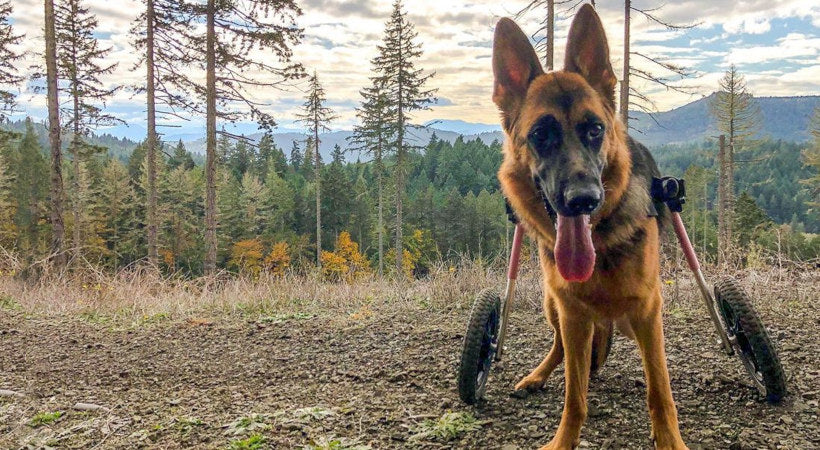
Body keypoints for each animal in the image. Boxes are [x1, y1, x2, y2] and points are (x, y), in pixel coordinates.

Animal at [494, 4, 692, 450]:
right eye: (541, 134)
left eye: (595, 130)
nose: (584, 199)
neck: (598, 241)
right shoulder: (572, 313)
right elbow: (575, 394)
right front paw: (563, 439)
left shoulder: (649, 312)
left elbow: (660, 390)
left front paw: (669, 439)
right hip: (553, 306)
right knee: (561, 350)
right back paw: (538, 375)